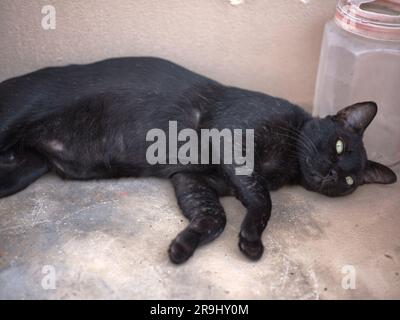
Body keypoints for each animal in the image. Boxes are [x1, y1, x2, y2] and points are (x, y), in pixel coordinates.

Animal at [0, 58, 396, 264]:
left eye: (349, 181)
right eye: (339, 145)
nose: (331, 173)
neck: (287, 164)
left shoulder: (191, 178)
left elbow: (214, 216)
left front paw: (184, 244)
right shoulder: (233, 142)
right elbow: (263, 201)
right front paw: (252, 239)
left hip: (23, 170)